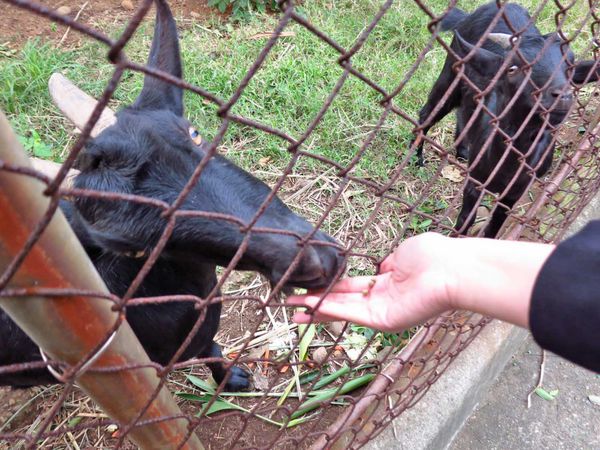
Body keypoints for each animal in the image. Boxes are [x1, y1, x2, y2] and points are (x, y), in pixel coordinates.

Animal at [414, 1, 596, 237]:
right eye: (513, 68)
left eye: (571, 70)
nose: (562, 96)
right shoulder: (475, 183)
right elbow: (466, 218)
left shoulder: (514, 192)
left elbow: (497, 223)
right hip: (451, 73)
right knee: (428, 113)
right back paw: (417, 158)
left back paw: (463, 151)